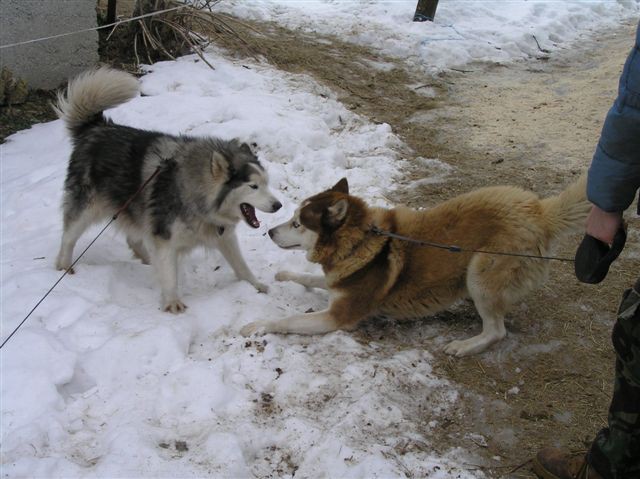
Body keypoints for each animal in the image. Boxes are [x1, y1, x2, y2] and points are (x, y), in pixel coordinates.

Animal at [52, 68, 278, 316]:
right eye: (253, 186)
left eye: (267, 183)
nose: (278, 205)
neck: (193, 193)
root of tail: (96, 127)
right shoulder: (165, 237)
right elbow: (170, 274)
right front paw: (172, 301)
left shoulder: (224, 236)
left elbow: (241, 265)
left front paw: (255, 285)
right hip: (87, 209)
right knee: (68, 237)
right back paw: (64, 266)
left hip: (137, 210)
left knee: (133, 240)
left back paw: (147, 260)